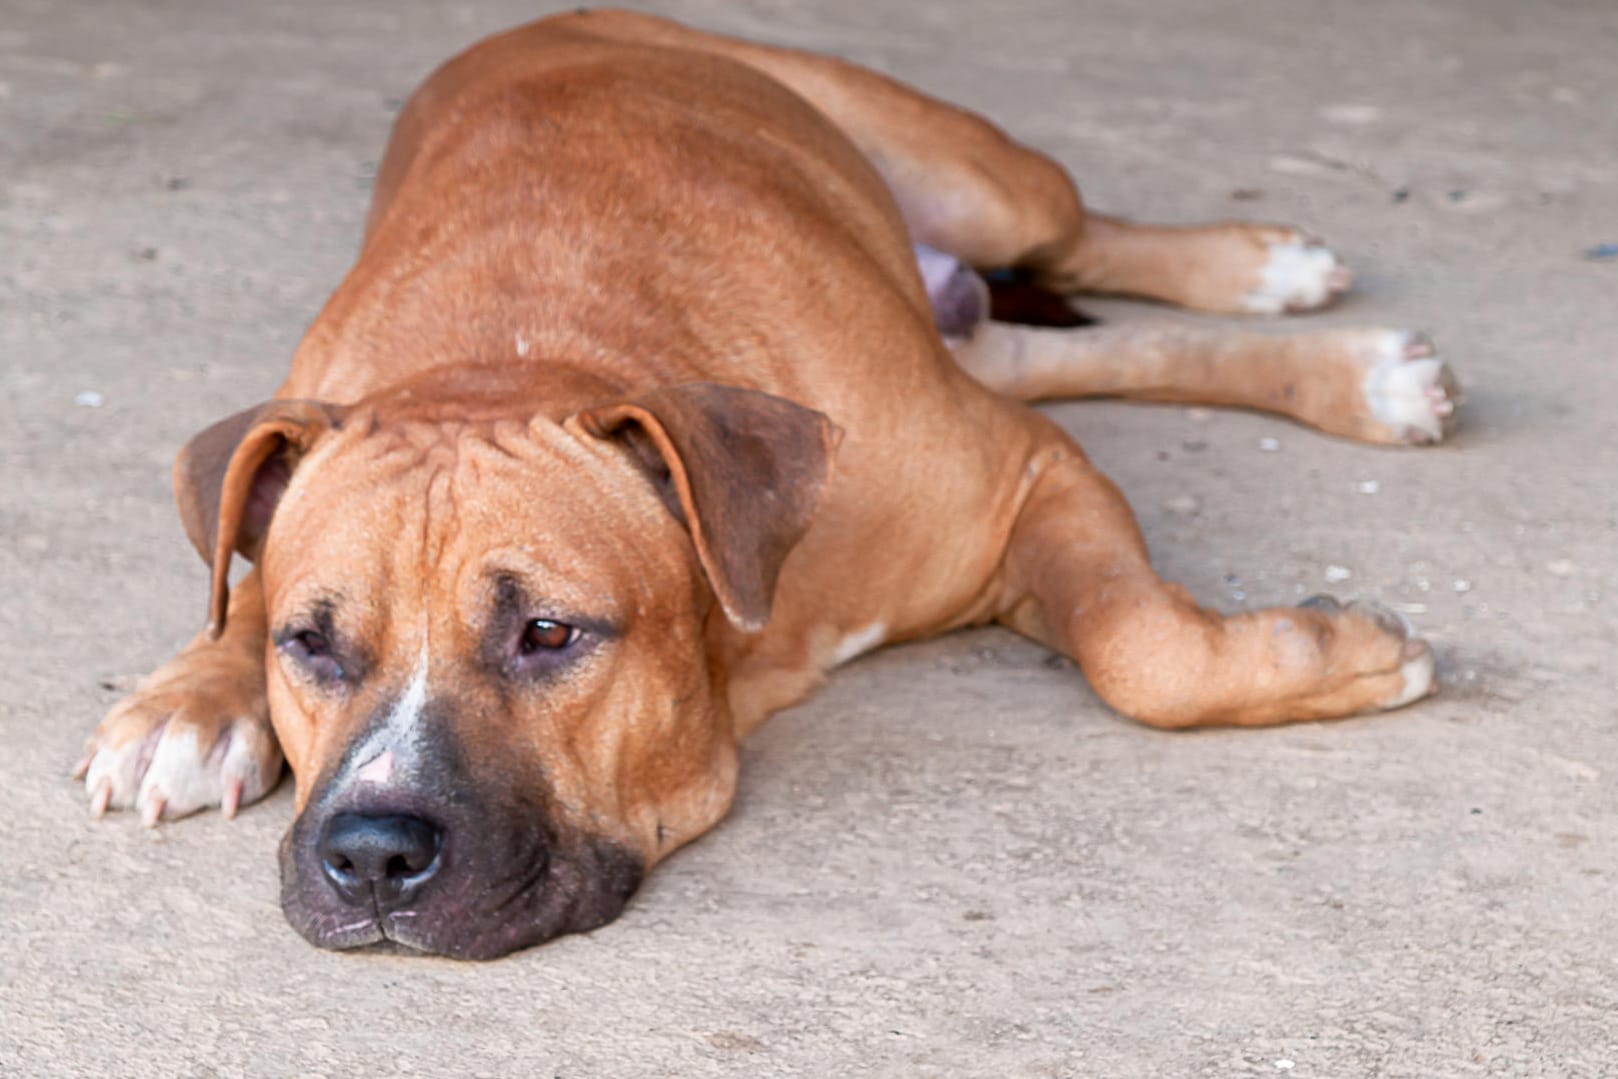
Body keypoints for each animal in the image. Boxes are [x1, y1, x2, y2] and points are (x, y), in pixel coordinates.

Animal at [76, 6, 1462, 951]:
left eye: (546, 633)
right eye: (312, 644)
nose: (370, 854)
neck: (516, 351)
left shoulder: (1024, 470)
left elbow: (1137, 647)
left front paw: (1334, 653)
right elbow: (235, 573)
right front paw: (194, 696)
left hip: (984, 181)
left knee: (1088, 242)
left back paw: (1274, 279)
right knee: (1062, 347)